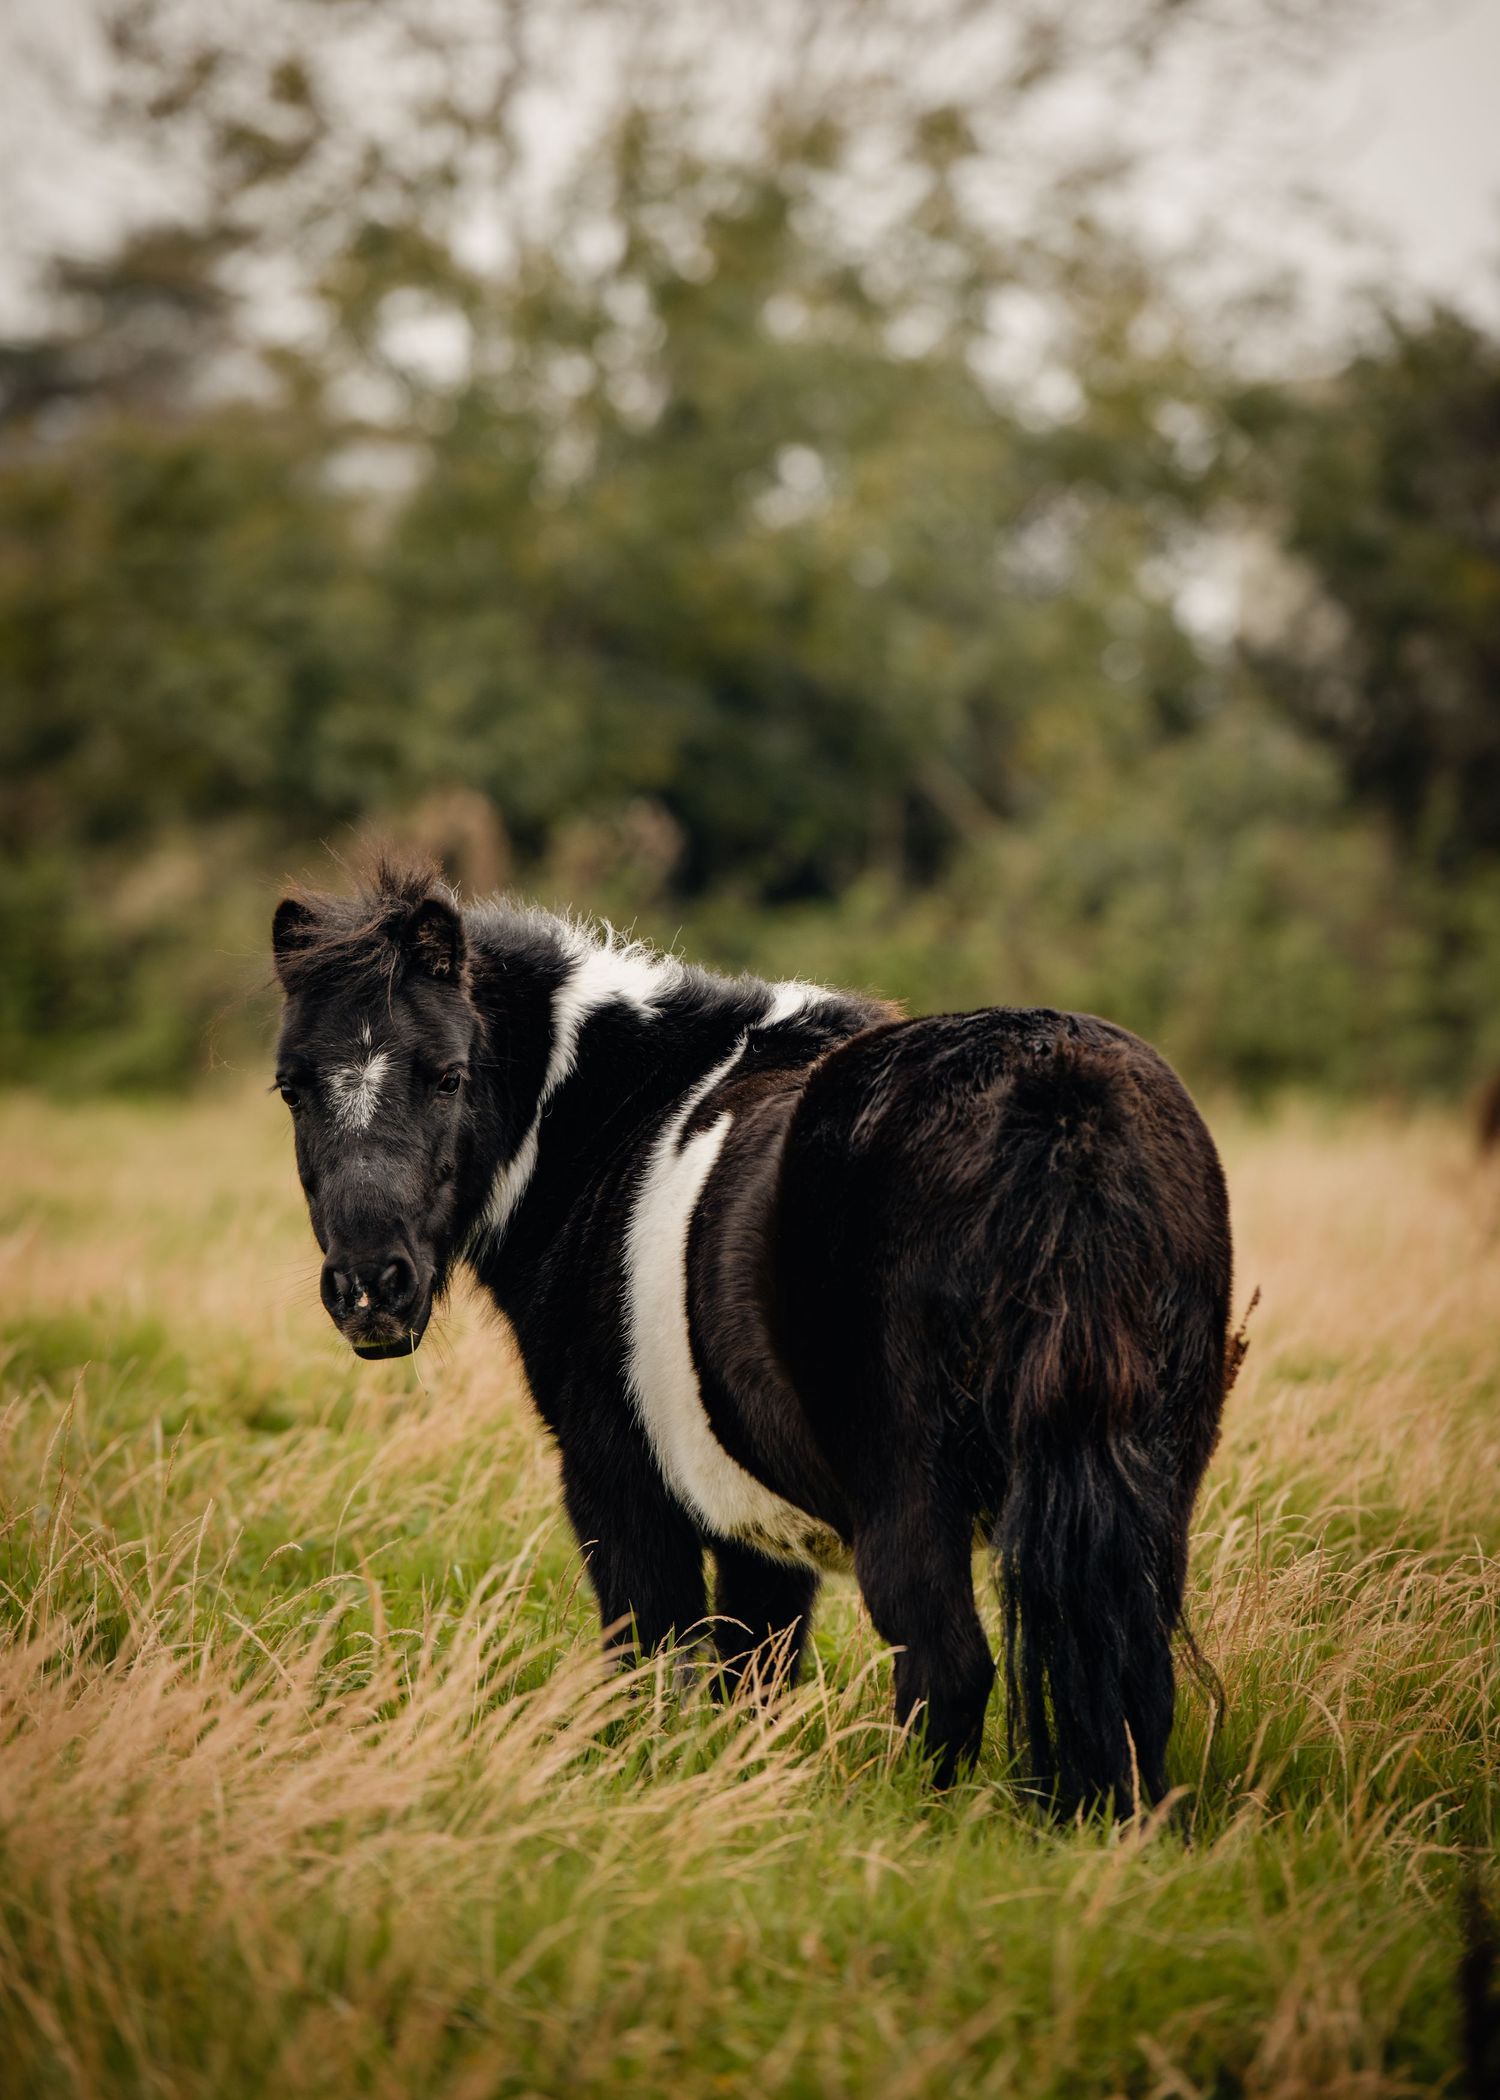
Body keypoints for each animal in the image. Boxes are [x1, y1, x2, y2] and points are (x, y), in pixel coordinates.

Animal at [271, 855, 1234, 1816]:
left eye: (448, 1076)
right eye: (292, 1089)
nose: (370, 1288)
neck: (612, 1123)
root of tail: (1062, 1101)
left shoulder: (618, 1482)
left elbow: (652, 1660)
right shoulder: (753, 1524)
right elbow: (752, 1677)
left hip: (908, 1494)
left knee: (946, 1668)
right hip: (1148, 1488)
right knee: (1128, 1672)